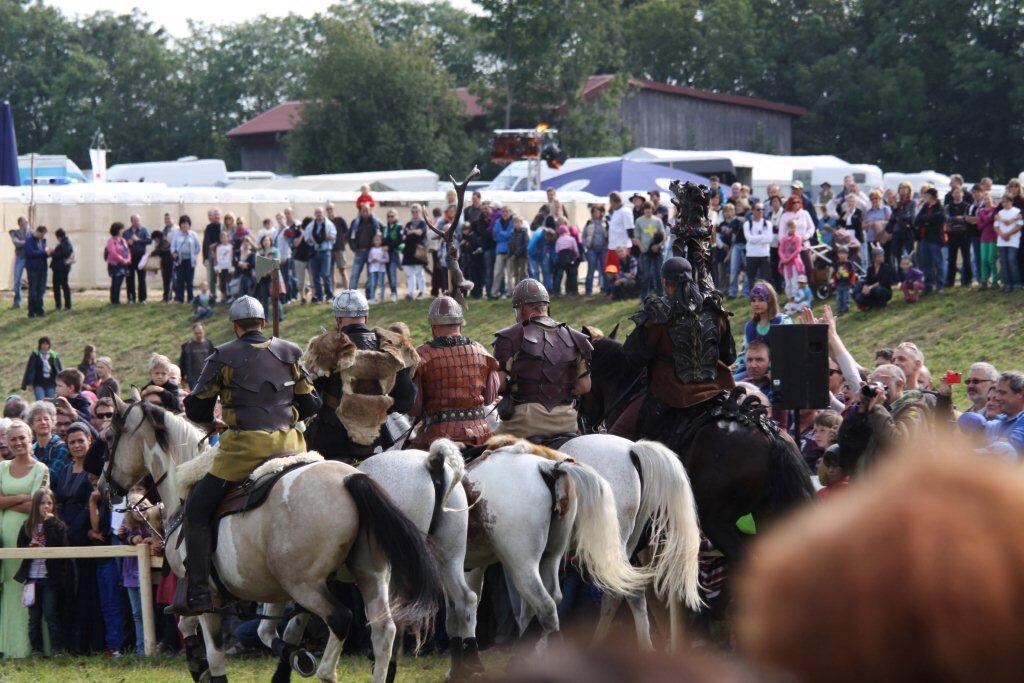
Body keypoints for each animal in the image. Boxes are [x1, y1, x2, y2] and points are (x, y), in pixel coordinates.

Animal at [96, 395, 444, 683]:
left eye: (110, 437)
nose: (103, 486)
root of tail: (351, 478)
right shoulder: (273, 591)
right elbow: (267, 631)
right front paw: (295, 659)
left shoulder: (207, 600)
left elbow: (214, 652)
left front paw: (205, 668)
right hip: (369, 576)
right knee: (384, 631)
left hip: (306, 585)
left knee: (341, 619)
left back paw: (326, 670)